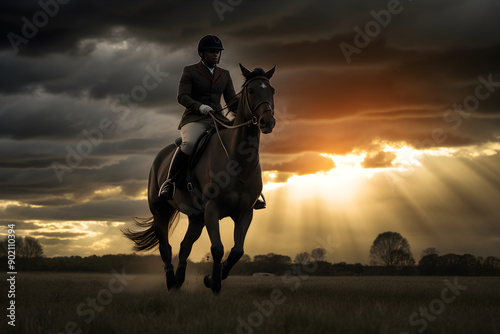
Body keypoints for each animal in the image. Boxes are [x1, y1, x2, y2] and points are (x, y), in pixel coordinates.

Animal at [123, 64, 276, 294]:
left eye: (272, 91)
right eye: (251, 91)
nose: (268, 122)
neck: (238, 160)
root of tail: (160, 156)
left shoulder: (244, 212)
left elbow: (237, 251)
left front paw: (211, 279)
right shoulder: (212, 209)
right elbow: (218, 248)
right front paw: (214, 284)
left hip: (196, 217)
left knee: (184, 246)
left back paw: (179, 281)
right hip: (161, 211)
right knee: (165, 247)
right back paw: (171, 282)